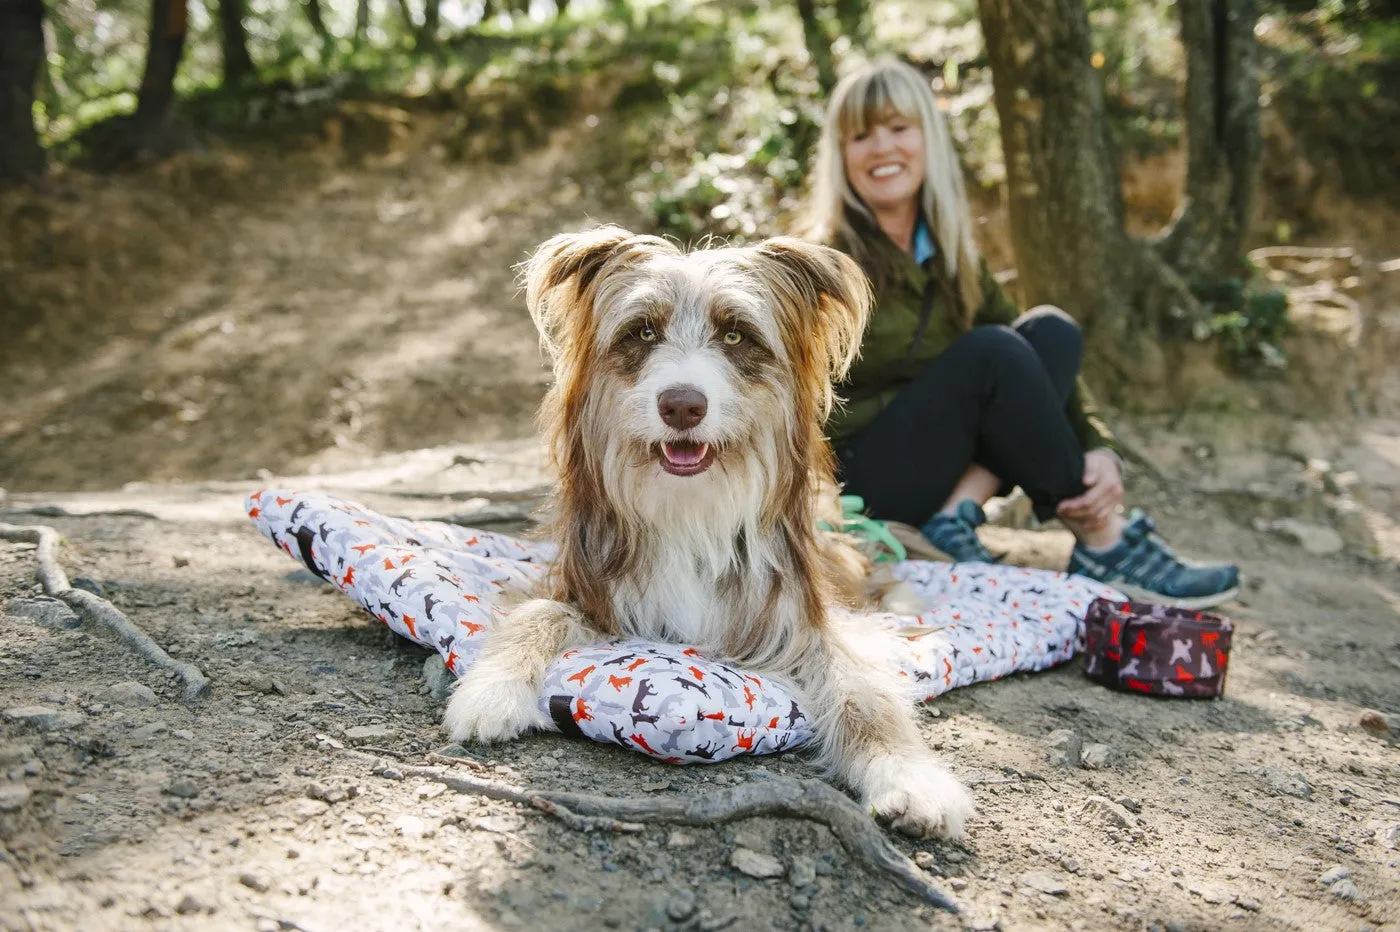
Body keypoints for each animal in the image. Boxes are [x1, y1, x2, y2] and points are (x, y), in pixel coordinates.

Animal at [445, 223, 974, 834]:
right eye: (643, 331)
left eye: (736, 335)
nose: (681, 405)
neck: (690, 511)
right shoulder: (585, 587)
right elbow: (535, 615)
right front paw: (490, 691)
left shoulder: (801, 617)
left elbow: (864, 690)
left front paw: (911, 779)